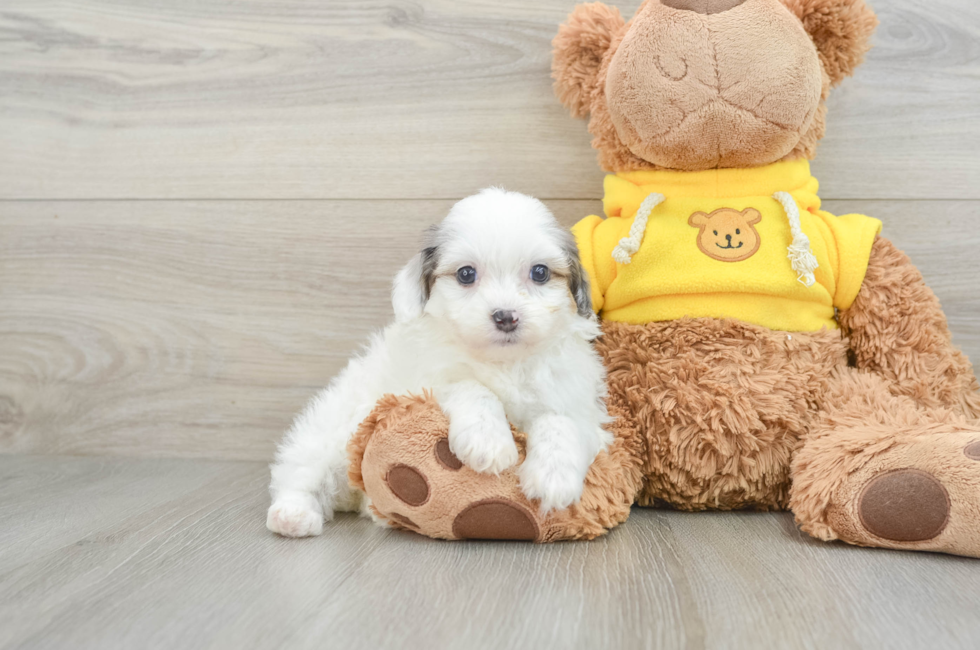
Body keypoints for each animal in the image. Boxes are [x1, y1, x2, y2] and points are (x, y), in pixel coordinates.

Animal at [264, 185, 608, 536]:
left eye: (539, 273)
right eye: (466, 274)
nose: (506, 317)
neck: (504, 362)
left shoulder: (577, 402)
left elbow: (560, 422)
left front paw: (554, 477)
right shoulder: (420, 384)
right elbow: (470, 386)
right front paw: (488, 440)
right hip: (329, 433)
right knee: (302, 473)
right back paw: (293, 514)